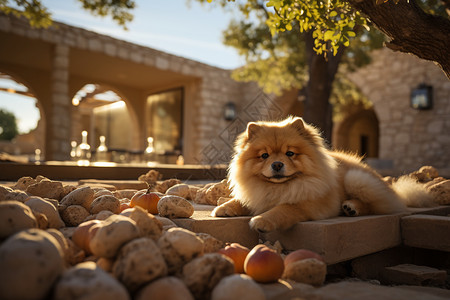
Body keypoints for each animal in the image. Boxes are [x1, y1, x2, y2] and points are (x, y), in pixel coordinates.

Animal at [213, 116, 434, 232]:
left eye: (290, 153)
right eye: (264, 156)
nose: (276, 164)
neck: (279, 187)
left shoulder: (307, 204)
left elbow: (283, 209)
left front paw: (261, 220)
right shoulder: (256, 194)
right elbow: (240, 200)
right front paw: (224, 208)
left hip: (356, 179)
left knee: (375, 206)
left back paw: (351, 207)